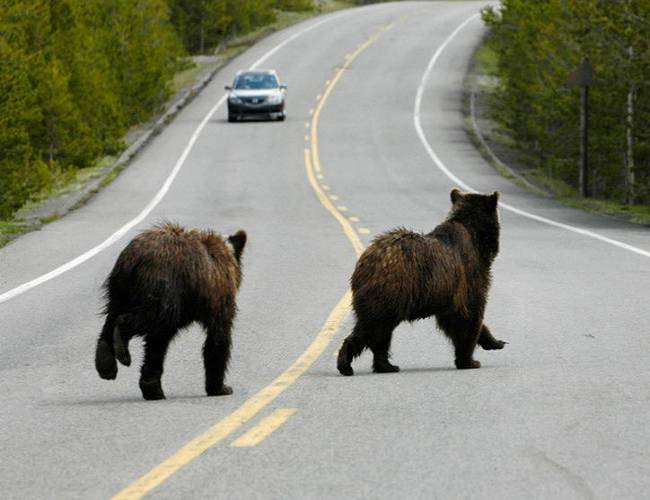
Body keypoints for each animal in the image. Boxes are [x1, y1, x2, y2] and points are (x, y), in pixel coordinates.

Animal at [95, 222, 247, 398]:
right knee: (150, 318)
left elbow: (156, 344)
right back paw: (121, 344)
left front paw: (151, 387)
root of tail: (135, 260)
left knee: (112, 316)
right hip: (163, 288)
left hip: (120, 289)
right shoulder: (217, 297)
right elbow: (218, 336)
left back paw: (106, 364)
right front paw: (221, 387)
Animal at [336, 189, 504, 376]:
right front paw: (470, 361)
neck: (476, 238)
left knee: (381, 334)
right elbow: (469, 315)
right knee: (373, 328)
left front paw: (495, 341)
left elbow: (458, 317)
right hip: (390, 293)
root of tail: (367, 262)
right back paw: (347, 364)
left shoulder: (448, 293)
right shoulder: (468, 275)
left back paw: (386, 365)